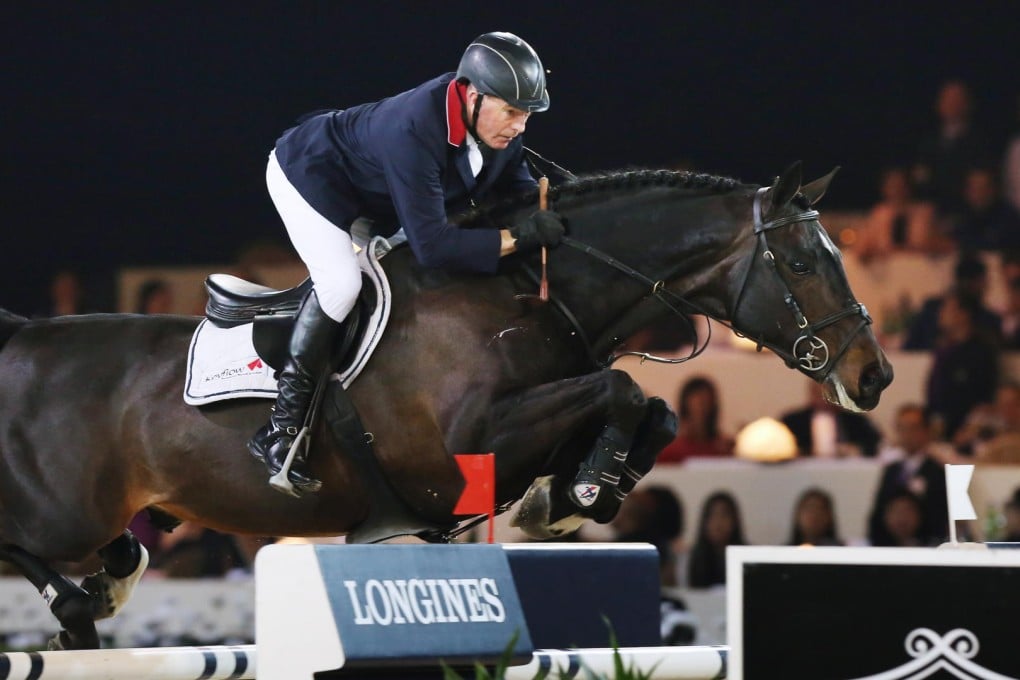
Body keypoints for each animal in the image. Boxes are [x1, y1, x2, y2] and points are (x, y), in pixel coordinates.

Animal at [0, 161, 893, 648]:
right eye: (804, 262)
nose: (875, 376)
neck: (524, 290)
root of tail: (22, 337)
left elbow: (654, 412)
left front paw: (575, 496)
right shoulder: (465, 444)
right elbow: (622, 388)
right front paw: (577, 492)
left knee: (111, 550)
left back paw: (105, 589)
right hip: (65, 514)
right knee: (30, 546)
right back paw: (80, 607)